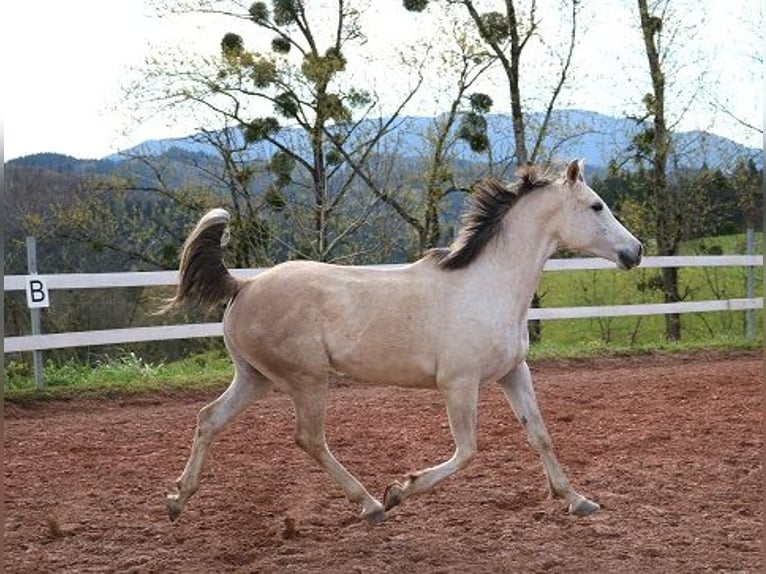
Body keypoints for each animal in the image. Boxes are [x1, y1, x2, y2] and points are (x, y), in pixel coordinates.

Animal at [163, 159, 643, 525]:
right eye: (596, 206)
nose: (635, 251)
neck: (489, 286)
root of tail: (243, 286)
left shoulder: (513, 372)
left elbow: (540, 435)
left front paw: (579, 500)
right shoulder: (459, 383)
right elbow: (467, 451)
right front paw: (400, 489)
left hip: (255, 377)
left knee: (209, 419)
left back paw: (177, 500)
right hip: (306, 379)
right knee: (309, 438)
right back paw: (371, 504)